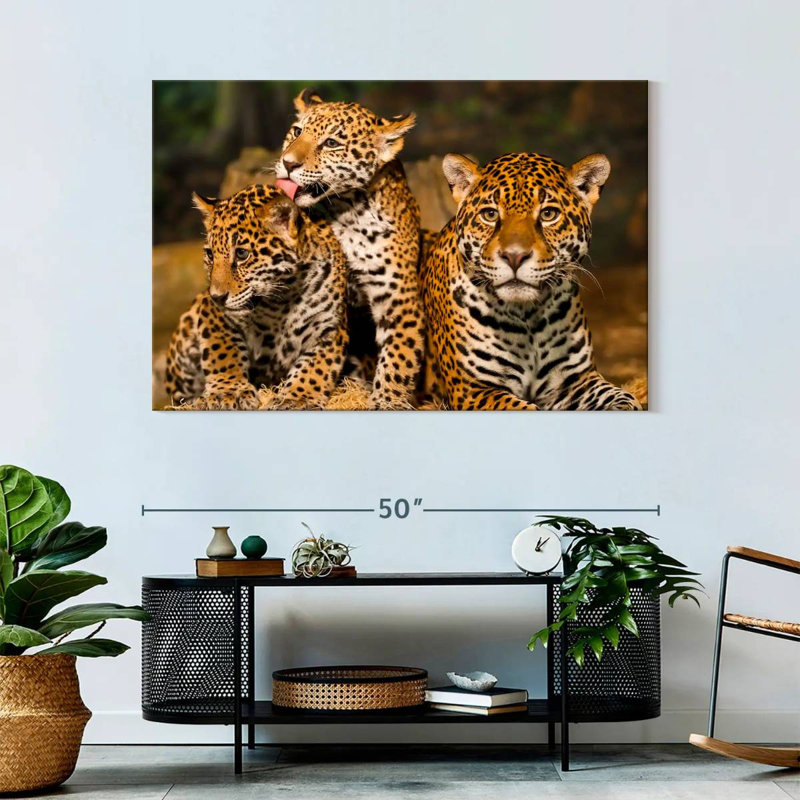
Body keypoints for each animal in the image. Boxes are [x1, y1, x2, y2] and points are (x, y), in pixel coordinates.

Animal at [164, 184, 348, 410]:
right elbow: (223, 351)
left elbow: (315, 368)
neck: (282, 299)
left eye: (242, 254)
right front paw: (227, 392)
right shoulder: (212, 314)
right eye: (210, 255)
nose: (217, 297)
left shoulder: (330, 328)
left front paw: (297, 398)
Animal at [274, 88, 424, 409]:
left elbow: (400, 356)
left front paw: (388, 400)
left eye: (331, 143)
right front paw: (296, 396)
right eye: (296, 131)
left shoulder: (400, 299)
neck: (347, 212)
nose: (288, 163)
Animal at [420, 151, 641, 411]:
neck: (527, 317)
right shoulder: (473, 390)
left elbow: (624, 399)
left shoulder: (576, 381)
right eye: (490, 215)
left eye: (548, 214)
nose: (514, 256)